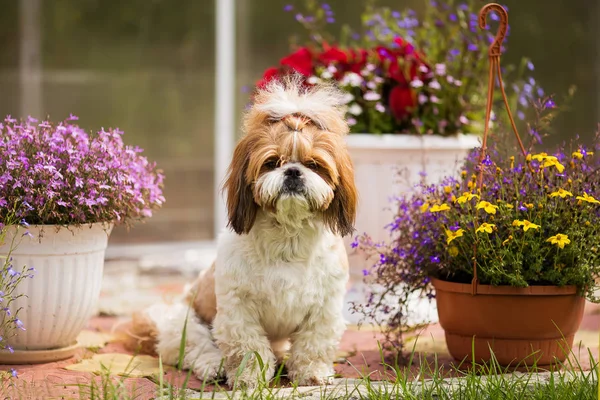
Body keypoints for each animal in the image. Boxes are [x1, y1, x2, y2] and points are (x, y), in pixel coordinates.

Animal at [127, 75, 356, 388]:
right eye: (271, 163)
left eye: (313, 165)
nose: (293, 172)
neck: (288, 238)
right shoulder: (238, 310)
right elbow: (248, 347)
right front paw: (250, 378)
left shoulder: (324, 308)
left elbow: (314, 343)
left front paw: (312, 373)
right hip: (183, 323)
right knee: (195, 348)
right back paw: (214, 366)